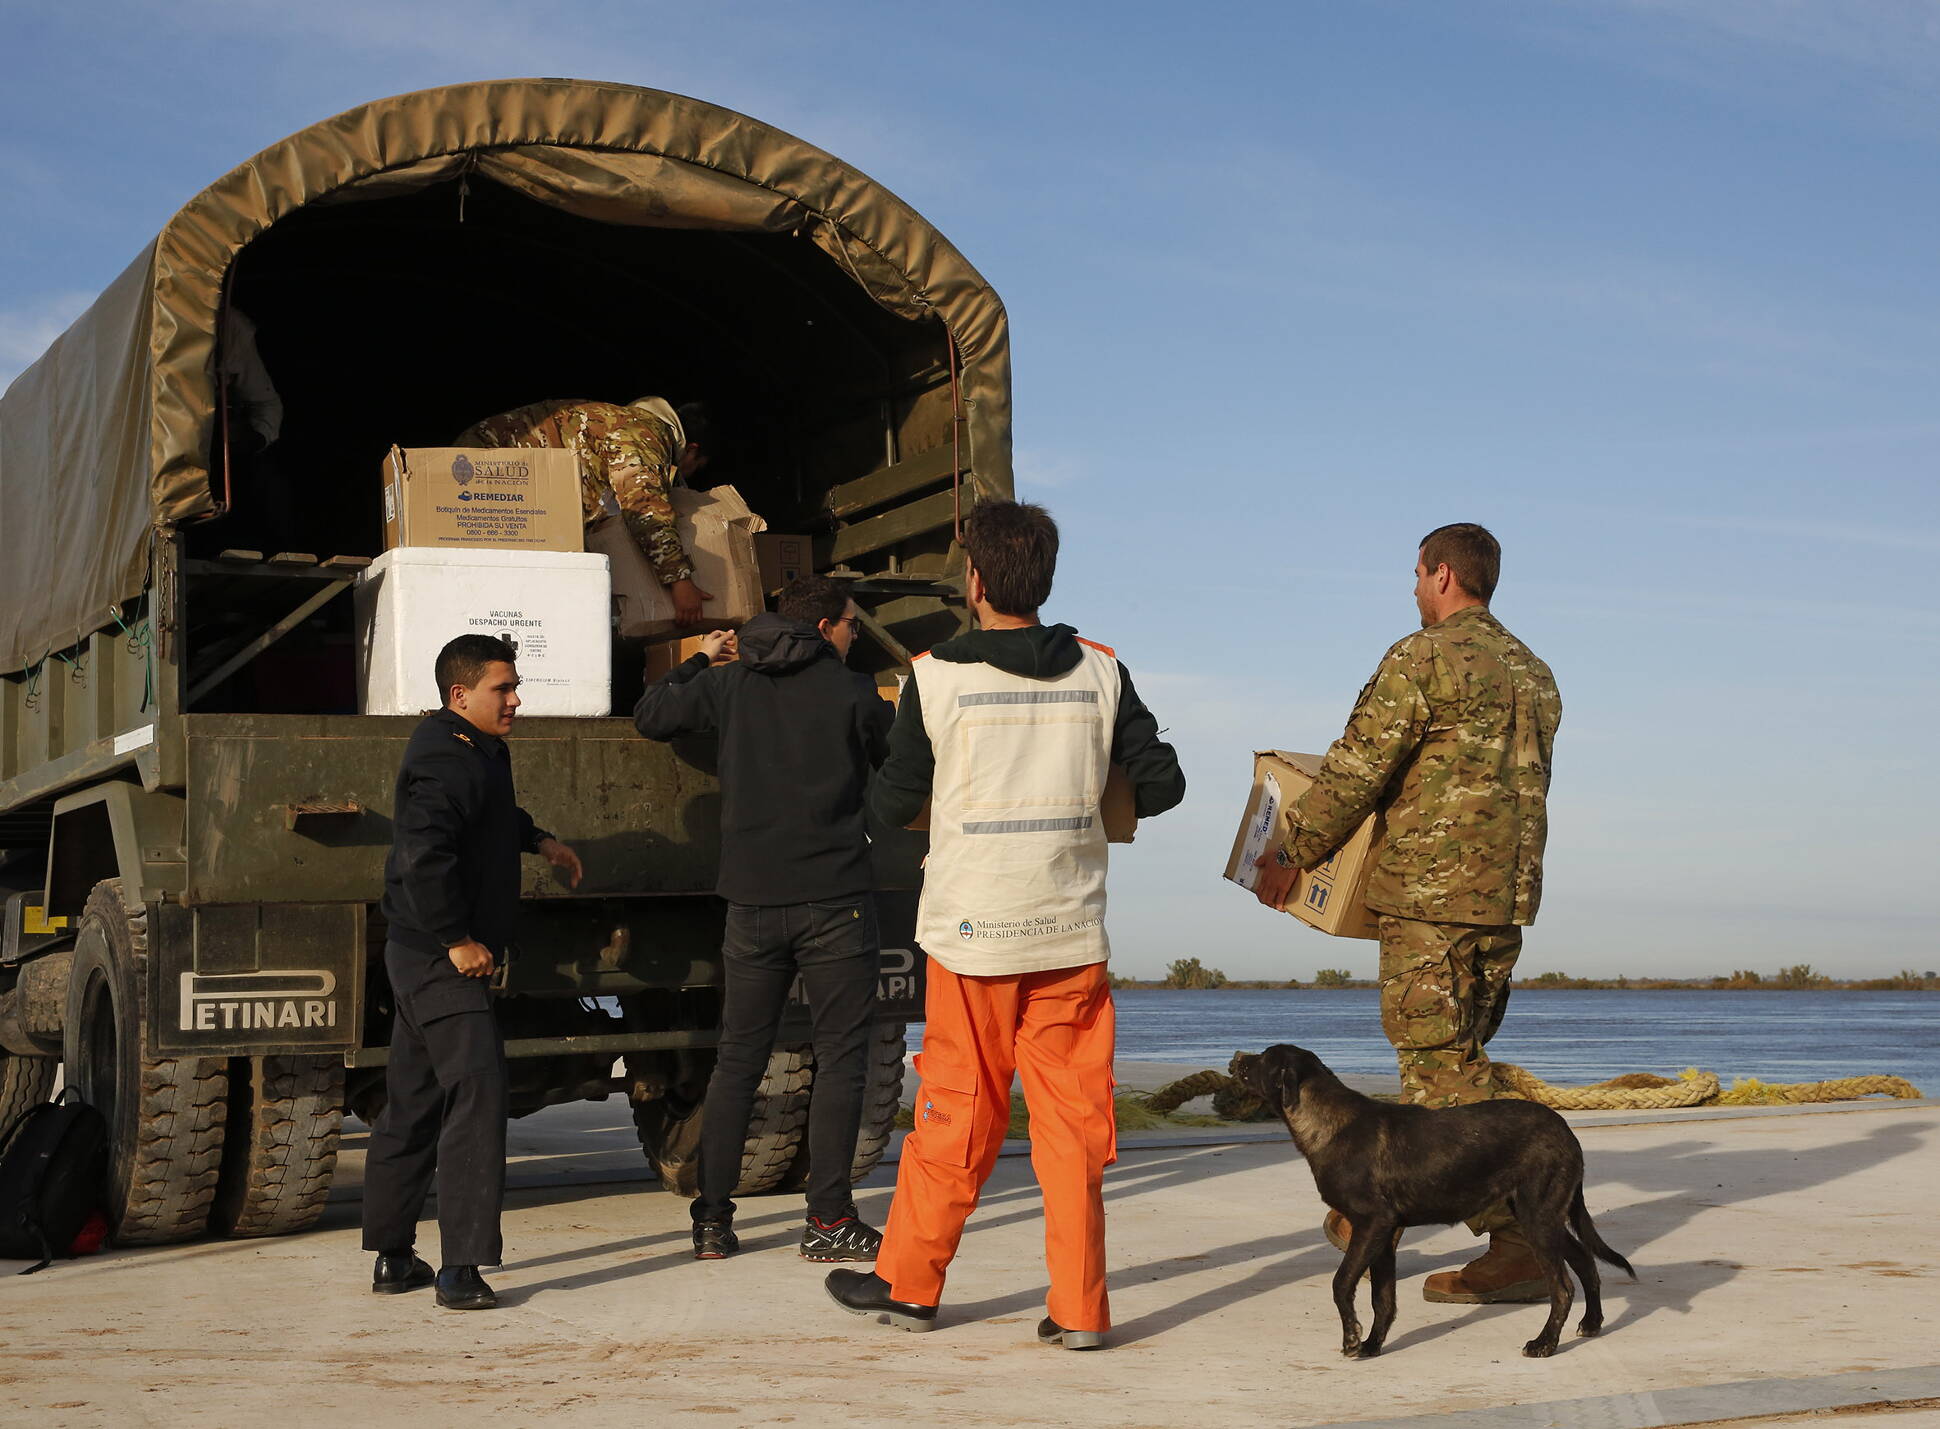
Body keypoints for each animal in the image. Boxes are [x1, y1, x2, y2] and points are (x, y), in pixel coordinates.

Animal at [1233, 1039, 1629, 1357]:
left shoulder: (1371, 1223)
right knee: (1585, 1260)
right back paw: (1592, 1323)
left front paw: (1351, 1339)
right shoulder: (1386, 1235)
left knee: (1562, 1287)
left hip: (1539, 1217)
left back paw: (1545, 1344)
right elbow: (1383, 1299)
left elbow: (1341, 1283)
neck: (1331, 1124)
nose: (1235, 1058)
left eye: (1262, 1058)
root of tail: (1565, 1131)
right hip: (1541, 1215)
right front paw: (1372, 1345)